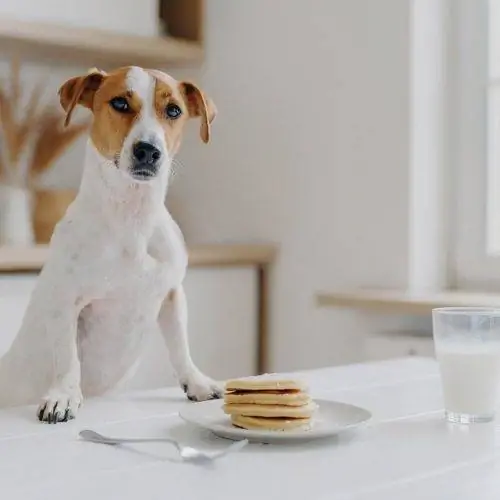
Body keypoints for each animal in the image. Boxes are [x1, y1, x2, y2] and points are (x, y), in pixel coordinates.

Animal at [0, 63, 223, 422]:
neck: (132, 216)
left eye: (173, 110)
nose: (148, 150)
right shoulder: (67, 301)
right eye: (120, 103)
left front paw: (197, 383)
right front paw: (63, 397)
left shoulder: (172, 295)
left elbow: (180, 346)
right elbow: (67, 357)